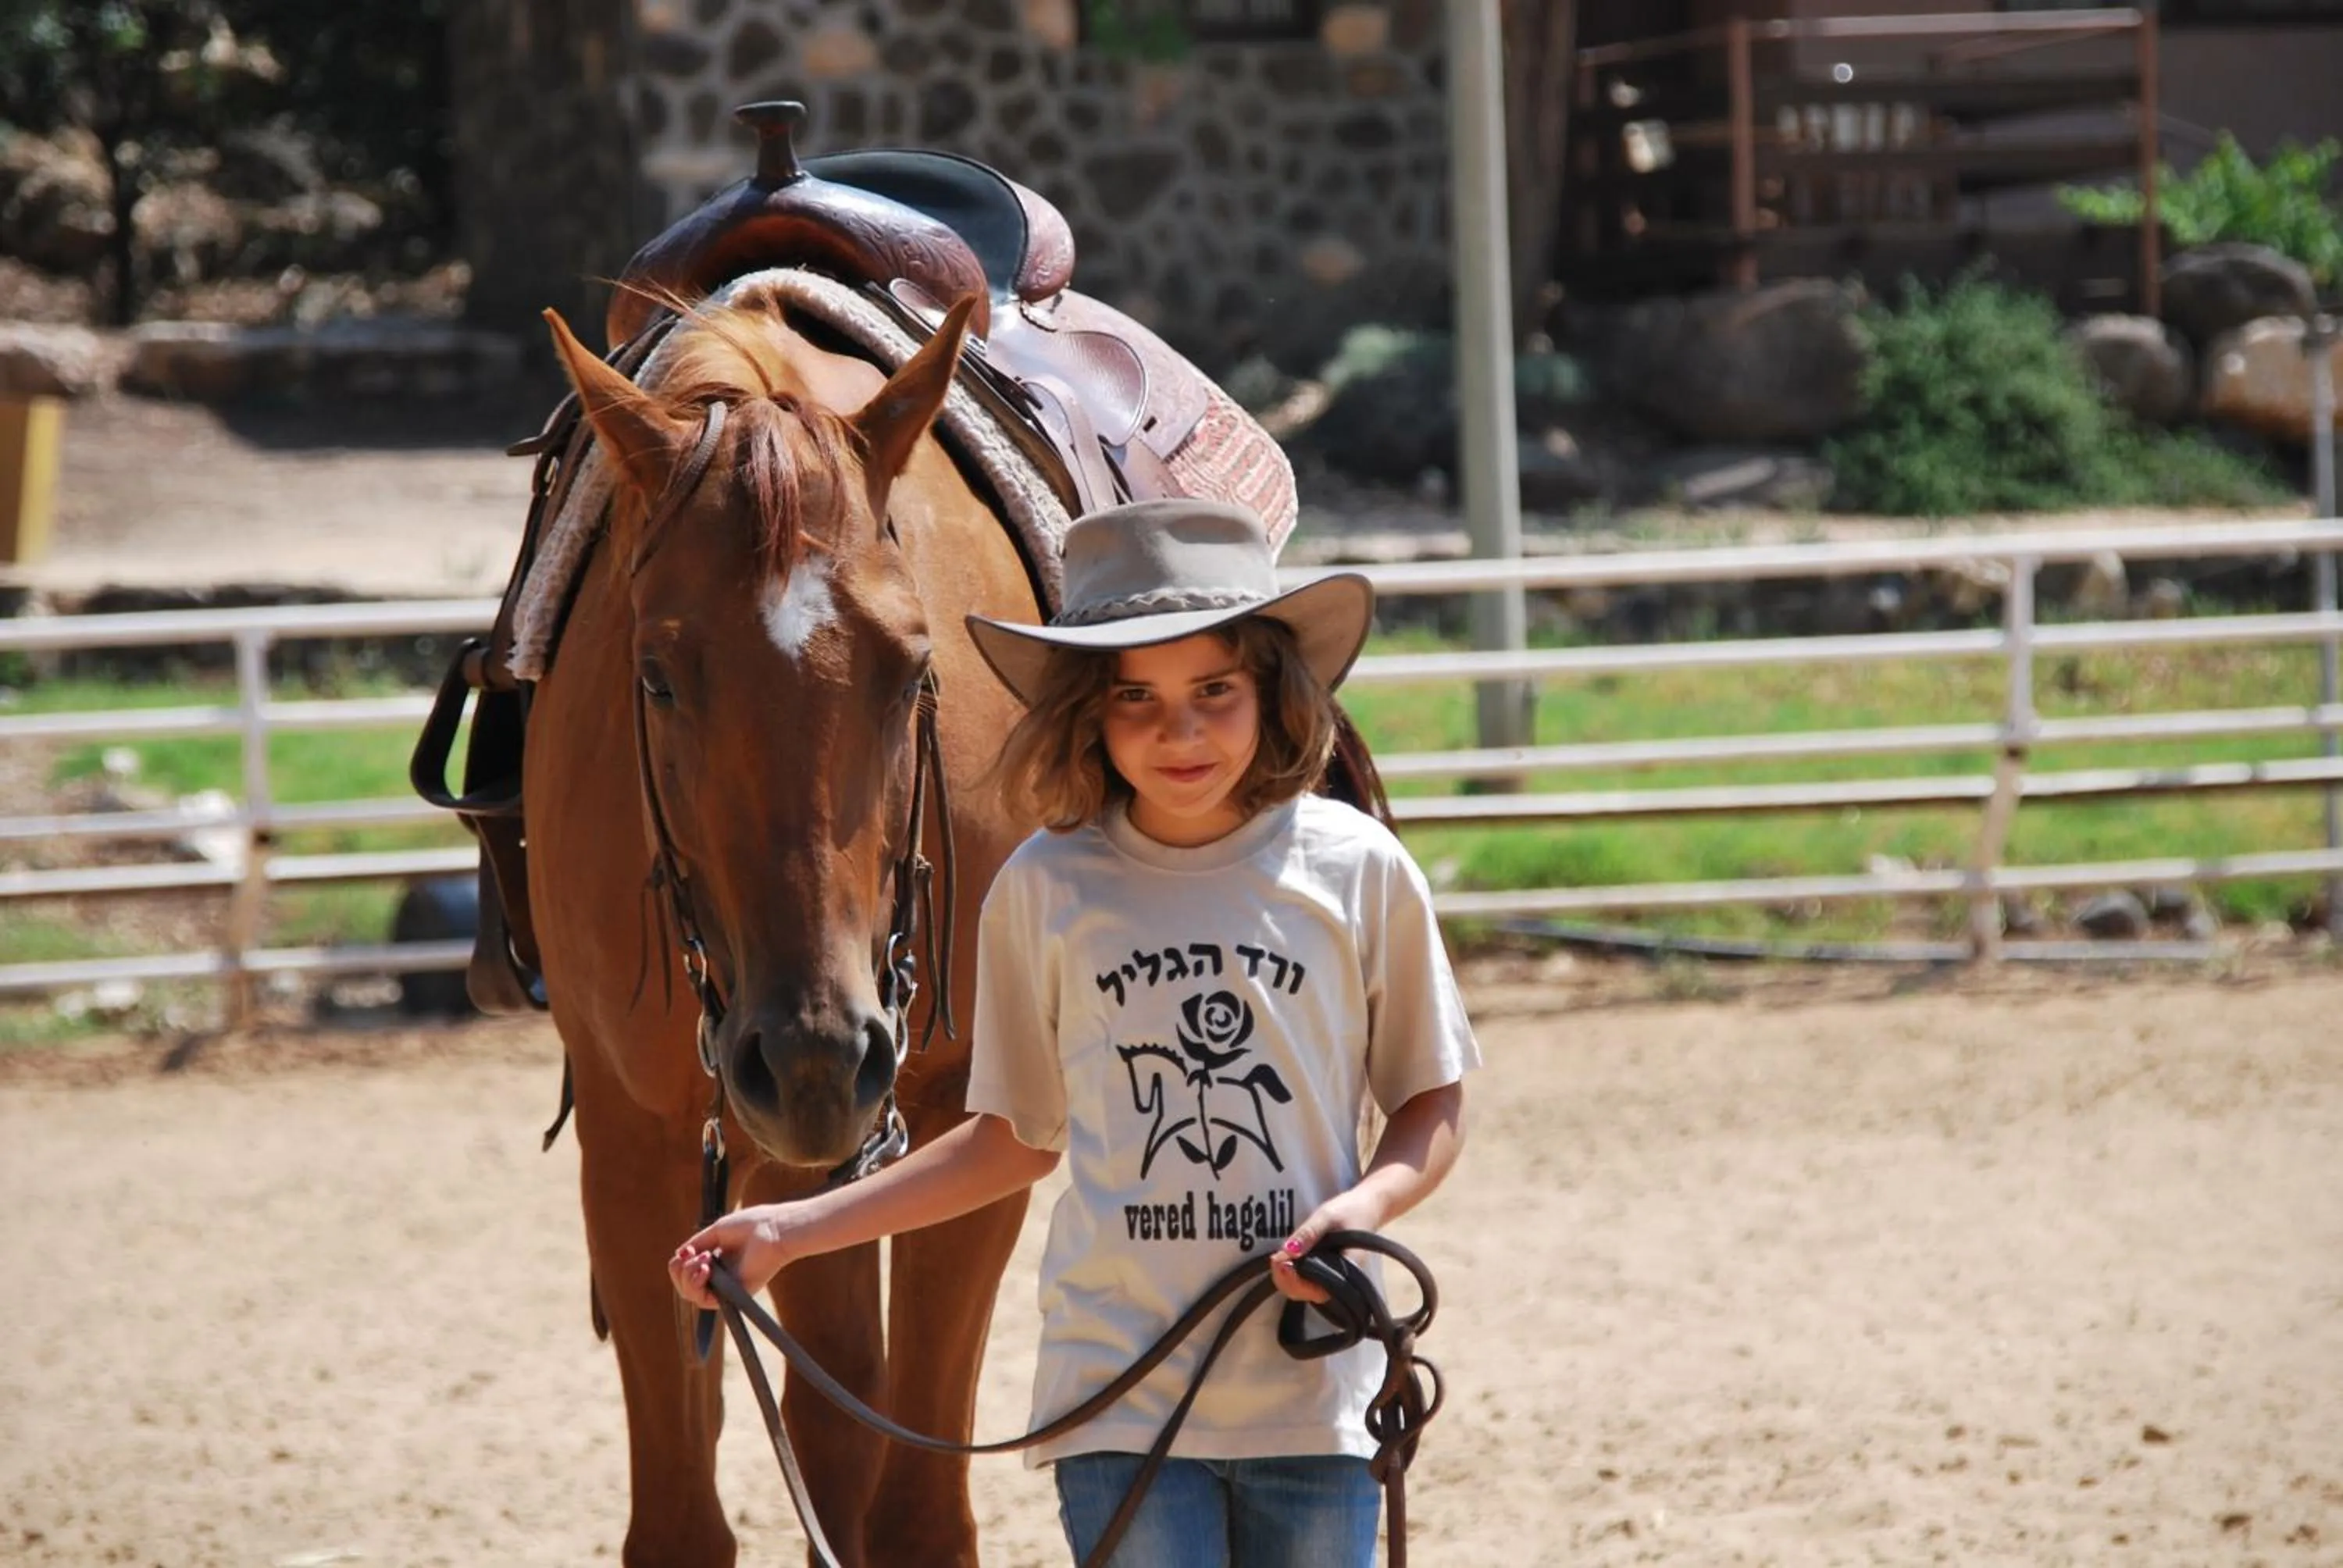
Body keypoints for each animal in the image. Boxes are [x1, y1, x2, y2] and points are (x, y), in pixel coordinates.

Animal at [525, 288, 1037, 1567]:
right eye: (656, 674)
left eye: (914, 668)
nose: (814, 1055)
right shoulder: (633, 1146)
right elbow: (681, 1520)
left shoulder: (967, 1125)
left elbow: (914, 1509)